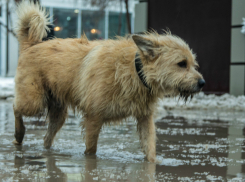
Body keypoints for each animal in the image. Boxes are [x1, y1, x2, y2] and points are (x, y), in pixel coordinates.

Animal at [13, 0, 205, 162]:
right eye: (181, 64)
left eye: (193, 64)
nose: (202, 83)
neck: (135, 71)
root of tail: (33, 44)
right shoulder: (93, 118)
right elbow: (91, 149)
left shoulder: (145, 118)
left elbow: (150, 149)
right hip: (33, 102)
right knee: (16, 107)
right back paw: (19, 134)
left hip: (58, 113)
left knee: (47, 138)